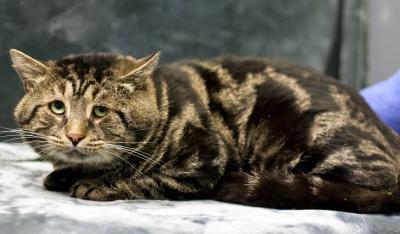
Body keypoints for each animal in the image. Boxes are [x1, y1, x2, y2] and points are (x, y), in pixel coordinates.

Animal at [8, 48, 400, 213]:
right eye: (58, 107)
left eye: (101, 111)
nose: (74, 135)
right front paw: (63, 174)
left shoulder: (203, 160)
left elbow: (146, 179)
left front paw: (98, 185)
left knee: (377, 193)